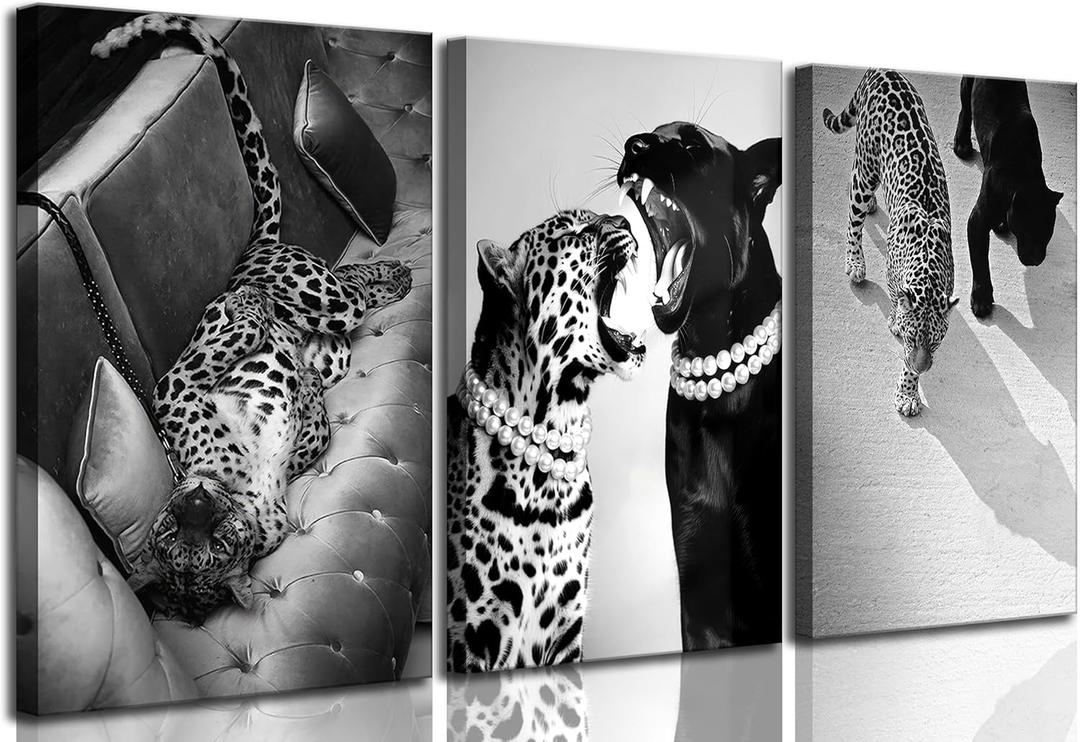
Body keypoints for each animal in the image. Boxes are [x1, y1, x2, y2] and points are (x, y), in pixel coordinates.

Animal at [92, 14, 411, 621]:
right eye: (174, 539)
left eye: (213, 543)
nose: (195, 500)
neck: (241, 492)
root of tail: (253, 250)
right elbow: (311, 425)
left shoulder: (175, 387)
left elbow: (209, 354)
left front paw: (246, 311)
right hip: (332, 340)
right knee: (350, 302)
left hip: (318, 293)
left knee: (353, 285)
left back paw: (386, 273)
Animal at [823, 68, 959, 417]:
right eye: (912, 338)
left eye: (935, 341)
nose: (924, 366)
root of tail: (884, 71)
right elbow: (899, 309)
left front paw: (909, 391)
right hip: (866, 167)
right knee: (853, 216)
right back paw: (855, 262)